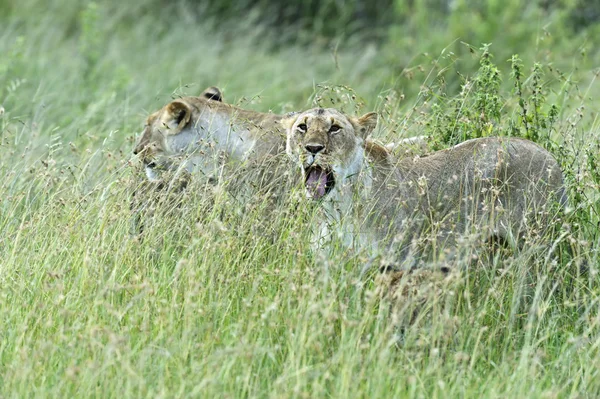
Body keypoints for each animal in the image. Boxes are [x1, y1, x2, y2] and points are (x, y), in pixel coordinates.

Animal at [284, 107, 568, 268]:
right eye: (302, 127)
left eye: (335, 128)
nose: (313, 148)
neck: (338, 205)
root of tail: (550, 156)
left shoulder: (392, 261)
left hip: (537, 242)